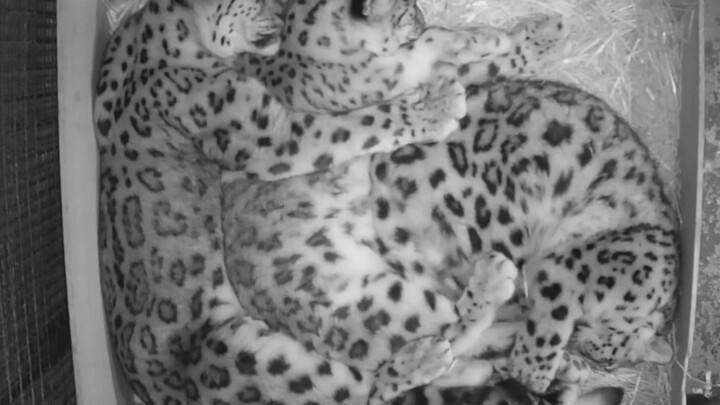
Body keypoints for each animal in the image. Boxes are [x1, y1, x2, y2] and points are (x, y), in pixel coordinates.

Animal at [92, 0, 507, 403]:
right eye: (406, 10)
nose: (421, 15)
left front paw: (477, 39)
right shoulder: (275, 132)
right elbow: (366, 116)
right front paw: (438, 99)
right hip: (270, 348)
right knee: (387, 372)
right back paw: (474, 301)